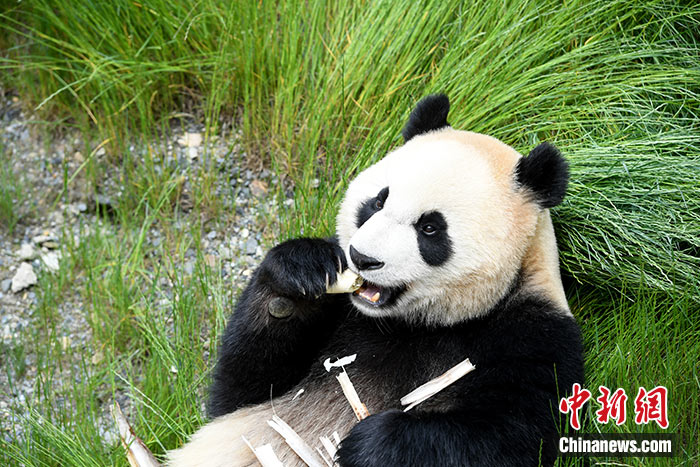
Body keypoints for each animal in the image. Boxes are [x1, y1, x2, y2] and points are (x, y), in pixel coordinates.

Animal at [168, 94, 584, 467]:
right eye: (378, 202)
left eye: (430, 228)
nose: (362, 258)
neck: (415, 324)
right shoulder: (338, 321)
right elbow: (239, 390)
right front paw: (302, 270)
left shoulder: (533, 336)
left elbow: (508, 435)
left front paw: (369, 444)